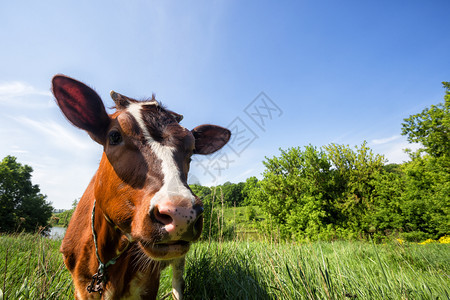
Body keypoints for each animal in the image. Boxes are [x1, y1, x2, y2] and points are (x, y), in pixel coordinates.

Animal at [51, 75, 230, 300]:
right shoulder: (81, 287)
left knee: (177, 281)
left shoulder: (148, 284)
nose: (181, 213)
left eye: (191, 150)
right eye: (114, 136)